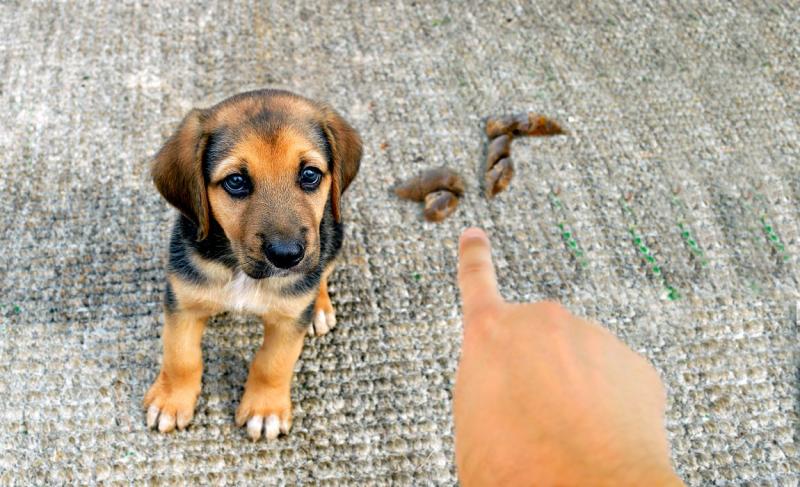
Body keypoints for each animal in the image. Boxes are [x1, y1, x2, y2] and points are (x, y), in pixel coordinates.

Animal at [144, 89, 362, 440]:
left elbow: (273, 364)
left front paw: (264, 409)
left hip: (334, 236)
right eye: (236, 181)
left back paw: (319, 308)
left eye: (310, 175)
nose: (286, 256)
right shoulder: (182, 302)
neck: (240, 271)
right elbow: (181, 357)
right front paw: (171, 401)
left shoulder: (288, 321)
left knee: (322, 273)